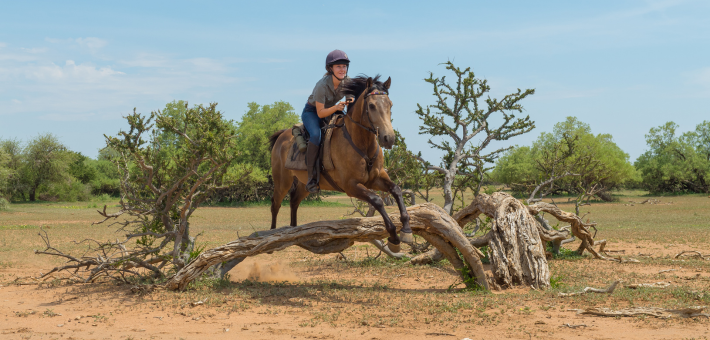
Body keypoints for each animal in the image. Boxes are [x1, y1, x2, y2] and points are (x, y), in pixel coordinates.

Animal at [268, 75, 412, 251]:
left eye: (390, 104)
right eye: (371, 105)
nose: (388, 138)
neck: (360, 143)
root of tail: (282, 135)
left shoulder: (376, 178)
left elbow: (396, 190)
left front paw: (406, 230)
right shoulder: (351, 186)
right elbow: (377, 200)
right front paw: (393, 237)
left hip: (303, 184)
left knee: (294, 201)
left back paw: (294, 233)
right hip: (282, 181)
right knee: (275, 204)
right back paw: (272, 236)